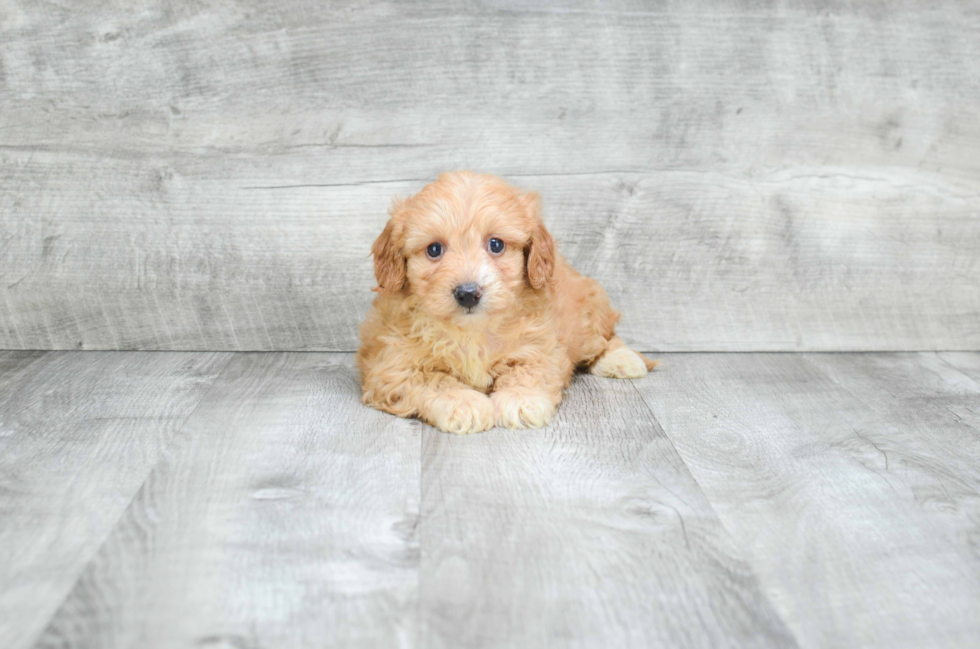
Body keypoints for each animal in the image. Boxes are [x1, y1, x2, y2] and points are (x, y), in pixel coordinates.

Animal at [356, 172, 656, 436]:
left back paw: (622, 359)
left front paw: (520, 399)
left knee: (605, 337)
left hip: (585, 316)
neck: (471, 330)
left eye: (496, 245)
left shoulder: (541, 346)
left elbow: (530, 370)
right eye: (434, 249)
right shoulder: (392, 367)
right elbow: (432, 380)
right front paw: (462, 402)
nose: (468, 293)